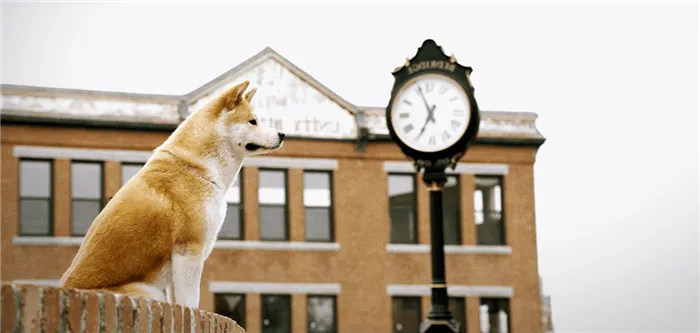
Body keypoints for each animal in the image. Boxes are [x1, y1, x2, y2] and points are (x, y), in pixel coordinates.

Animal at [57, 79, 282, 308]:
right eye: (253, 121)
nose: (282, 135)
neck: (197, 168)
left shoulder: (180, 263)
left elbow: (181, 304)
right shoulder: (188, 250)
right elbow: (190, 302)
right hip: (151, 291)